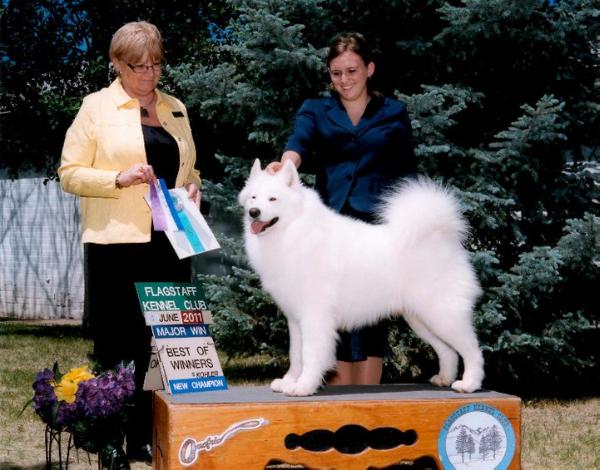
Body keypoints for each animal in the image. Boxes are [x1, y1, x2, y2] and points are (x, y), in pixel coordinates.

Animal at [238, 160, 482, 394]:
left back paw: (469, 384)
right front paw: (289, 382)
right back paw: (444, 378)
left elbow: (310, 354)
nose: (254, 212)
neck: (294, 232)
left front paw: (303, 386)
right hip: (421, 319)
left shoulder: (315, 316)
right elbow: (295, 354)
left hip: (442, 314)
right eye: (253, 197)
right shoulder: (295, 319)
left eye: (273, 199)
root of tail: (441, 237)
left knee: (472, 350)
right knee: (448, 350)